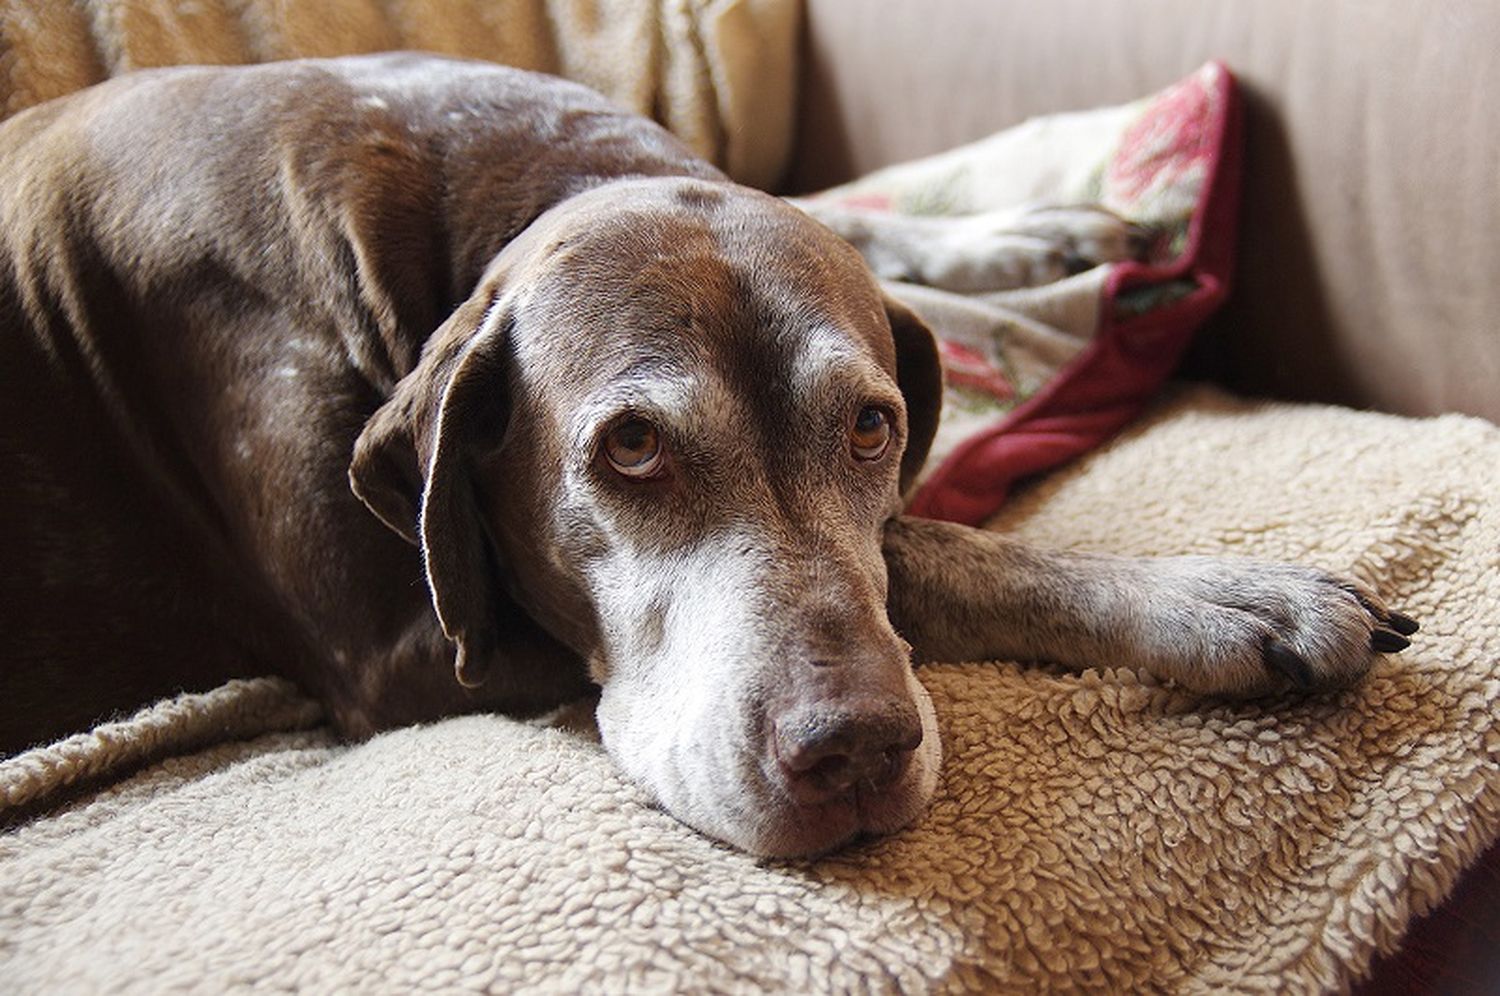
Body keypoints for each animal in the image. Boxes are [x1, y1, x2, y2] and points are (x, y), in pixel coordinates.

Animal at [0, 52, 1410, 858]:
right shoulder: (406, 650)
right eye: (630, 447)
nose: (854, 754)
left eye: (872, 424)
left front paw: (1025, 239)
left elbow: (853, 237)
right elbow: (924, 551)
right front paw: (1223, 598)